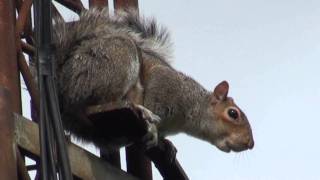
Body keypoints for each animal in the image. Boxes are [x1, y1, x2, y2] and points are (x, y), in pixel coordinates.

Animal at [52, 8, 252, 152]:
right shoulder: (165, 86)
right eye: (233, 113)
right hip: (118, 60)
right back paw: (140, 109)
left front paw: (168, 145)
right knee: (98, 103)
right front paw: (154, 130)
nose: (250, 144)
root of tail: (65, 87)